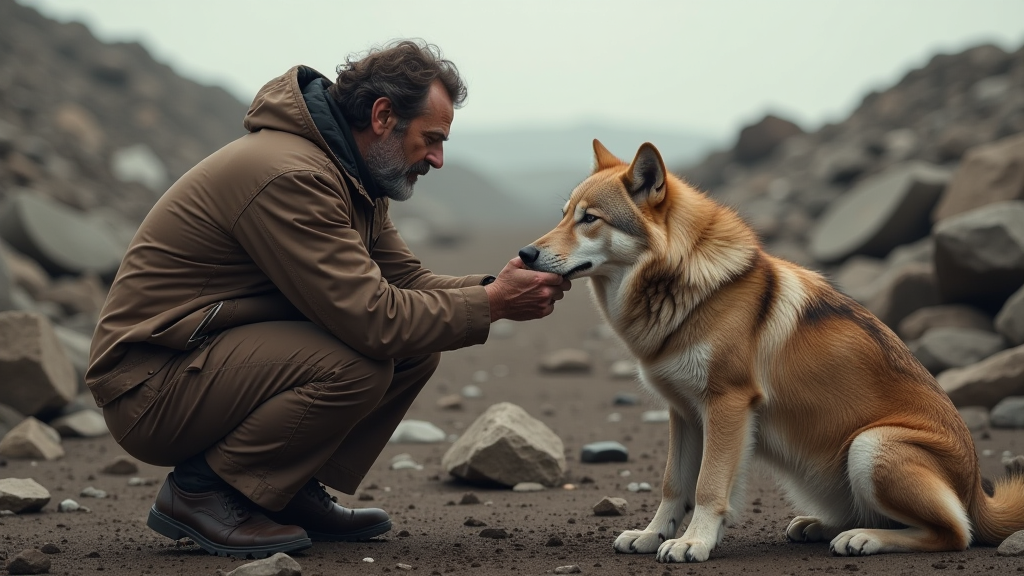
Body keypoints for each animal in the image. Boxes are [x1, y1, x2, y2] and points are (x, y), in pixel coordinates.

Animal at [520, 139, 1024, 561]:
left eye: (590, 218)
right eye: (563, 214)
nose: (525, 253)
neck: (683, 284)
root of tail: (979, 496)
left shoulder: (727, 404)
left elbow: (707, 487)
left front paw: (693, 543)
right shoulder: (683, 413)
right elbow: (672, 485)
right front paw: (651, 535)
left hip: (871, 444)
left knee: (954, 533)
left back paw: (864, 539)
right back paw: (821, 527)